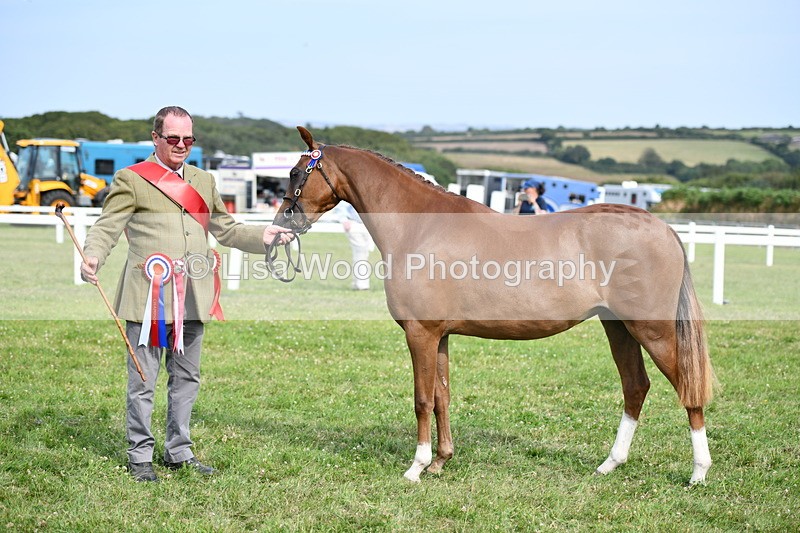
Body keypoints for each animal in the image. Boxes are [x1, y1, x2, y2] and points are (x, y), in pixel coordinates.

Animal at [273, 126, 716, 485]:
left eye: (296, 173)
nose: (281, 226)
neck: (421, 226)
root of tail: (661, 227)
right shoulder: (440, 335)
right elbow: (442, 396)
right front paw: (441, 461)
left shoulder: (420, 333)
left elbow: (421, 399)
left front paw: (417, 467)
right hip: (618, 327)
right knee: (635, 386)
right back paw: (610, 464)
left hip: (652, 329)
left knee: (686, 387)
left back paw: (698, 472)